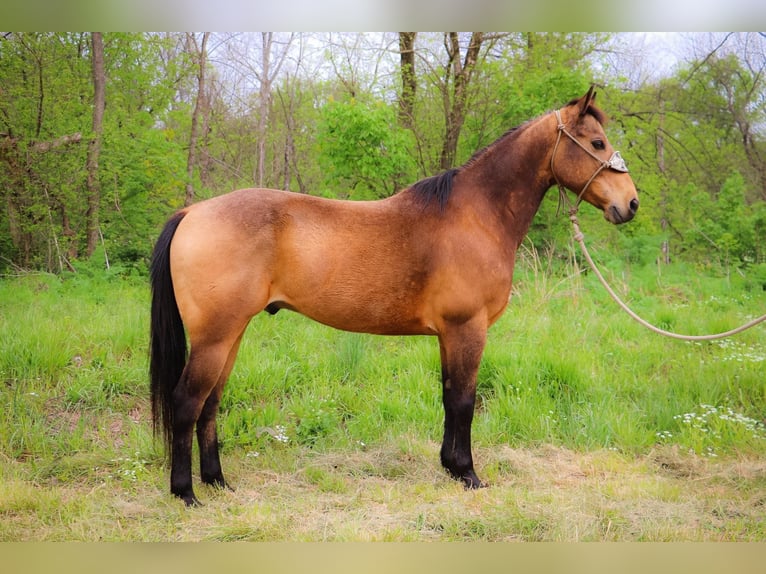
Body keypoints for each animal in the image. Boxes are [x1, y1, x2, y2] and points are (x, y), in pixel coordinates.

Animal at [152, 88, 640, 506]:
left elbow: (448, 396)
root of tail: (192, 212)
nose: (631, 204)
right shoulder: (468, 329)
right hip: (215, 338)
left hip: (230, 335)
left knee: (211, 403)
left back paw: (218, 481)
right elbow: (465, 401)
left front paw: (450, 466)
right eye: (597, 142)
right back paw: (187, 493)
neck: (475, 216)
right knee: (187, 402)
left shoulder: (449, 335)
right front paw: (468, 474)